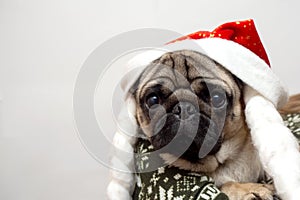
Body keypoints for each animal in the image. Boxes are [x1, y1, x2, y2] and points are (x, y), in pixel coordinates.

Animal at [128, 49, 276, 199]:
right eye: (152, 100)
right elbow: (227, 185)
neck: (220, 163)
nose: (183, 108)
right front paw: (250, 189)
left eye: (216, 98)